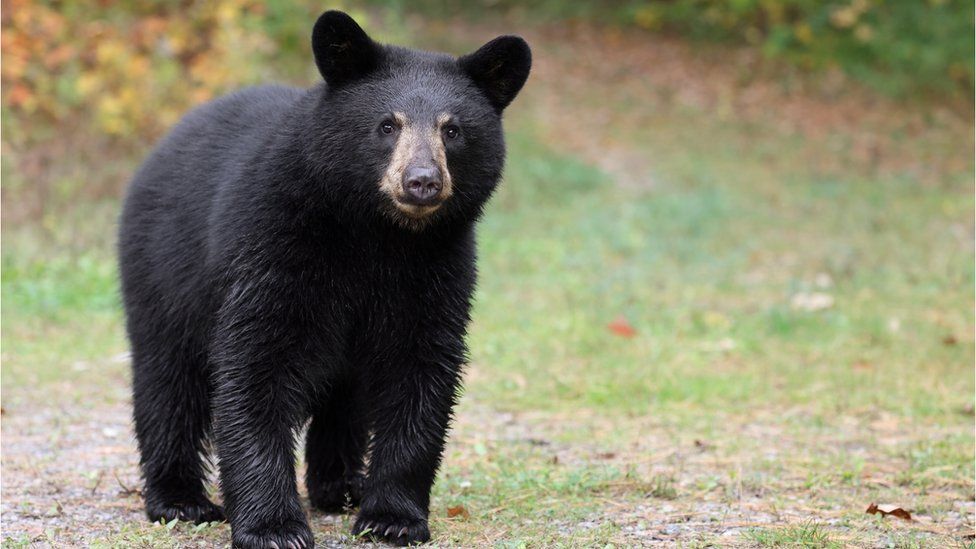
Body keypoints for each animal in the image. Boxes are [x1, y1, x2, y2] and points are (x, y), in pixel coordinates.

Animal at [117, 10, 528, 544]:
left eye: (453, 130)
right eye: (387, 125)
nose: (422, 181)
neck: (376, 235)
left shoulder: (437, 265)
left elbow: (421, 369)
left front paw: (392, 518)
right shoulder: (274, 242)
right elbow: (257, 362)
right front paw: (273, 527)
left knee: (344, 398)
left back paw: (342, 487)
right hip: (162, 271)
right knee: (167, 380)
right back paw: (180, 499)